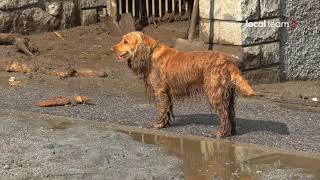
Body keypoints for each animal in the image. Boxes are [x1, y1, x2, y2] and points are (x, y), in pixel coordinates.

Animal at [112, 31, 255, 137]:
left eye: (125, 41)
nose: (112, 49)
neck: (151, 52)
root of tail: (227, 61)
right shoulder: (167, 92)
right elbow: (168, 108)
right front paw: (166, 124)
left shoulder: (159, 90)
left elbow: (162, 108)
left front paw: (159, 124)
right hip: (227, 94)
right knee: (231, 112)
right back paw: (231, 132)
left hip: (215, 92)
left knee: (224, 114)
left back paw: (221, 133)